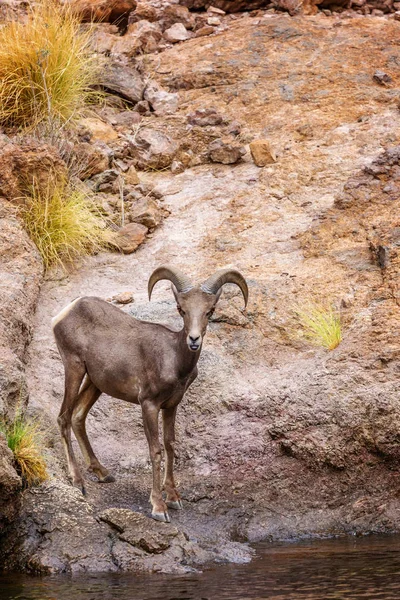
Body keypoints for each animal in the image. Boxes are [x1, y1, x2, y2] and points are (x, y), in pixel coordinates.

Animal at [52, 266, 248, 520]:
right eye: (181, 309)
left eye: (210, 311)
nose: (194, 339)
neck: (174, 360)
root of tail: (65, 313)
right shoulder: (148, 405)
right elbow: (155, 450)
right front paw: (158, 508)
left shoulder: (171, 406)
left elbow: (170, 445)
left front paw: (174, 498)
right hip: (74, 369)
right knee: (64, 418)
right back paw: (78, 482)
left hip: (95, 383)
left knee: (78, 417)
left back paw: (104, 473)